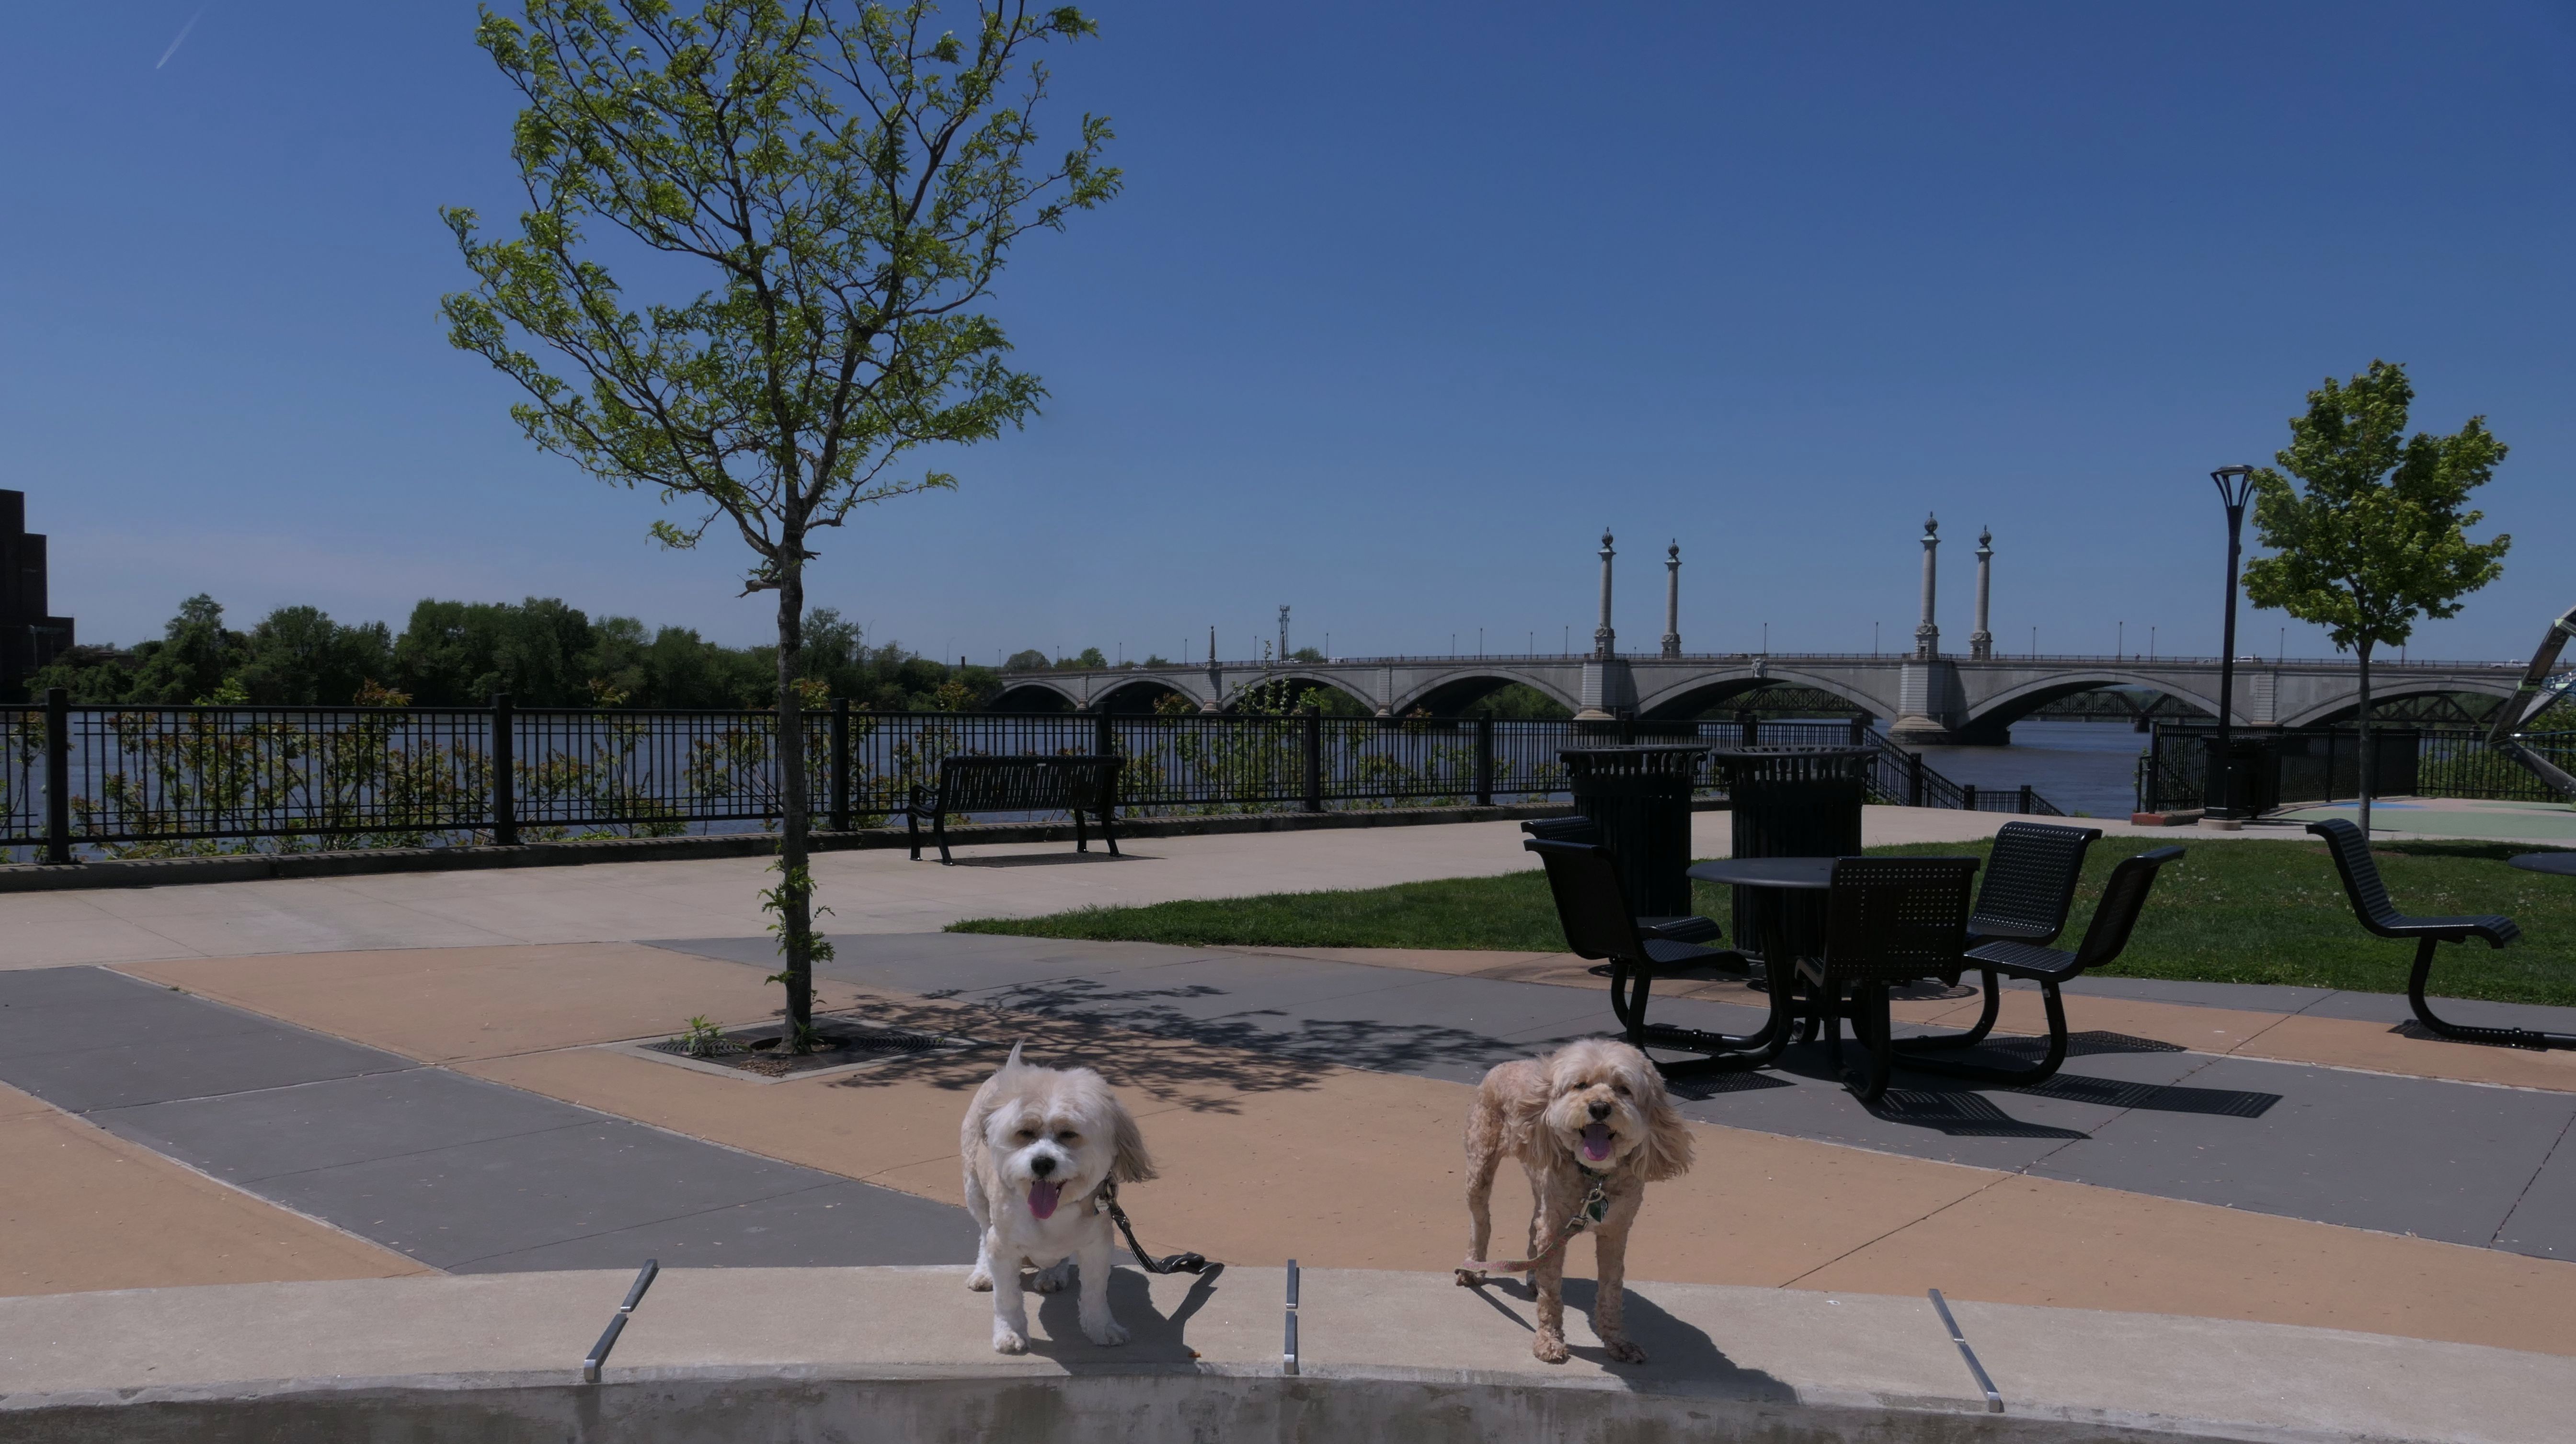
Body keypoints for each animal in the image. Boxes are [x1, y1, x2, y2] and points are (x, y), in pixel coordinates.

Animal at [961, 1044, 1156, 1354]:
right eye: (1025, 1133)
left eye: (1068, 1134)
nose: (1042, 1163)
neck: (1053, 1215)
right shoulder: (1002, 1246)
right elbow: (1007, 1298)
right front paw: (1010, 1333)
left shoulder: (1097, 1245)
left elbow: (1095, 1294)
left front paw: (1101, 1328)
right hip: (975, 1191)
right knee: (982, 1230)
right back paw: (984, 1272)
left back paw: (1053, 1274)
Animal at [1457, 1037, 1693, 1364]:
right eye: (1580, 1085)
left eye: (1623, 1089)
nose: (1600, 1107)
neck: (1595, 1178)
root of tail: (1508, 1063)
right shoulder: (1555, 1227)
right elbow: (1552, 1296)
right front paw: (1549, 1341)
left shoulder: (1615, 1232)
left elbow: (1611, 1290)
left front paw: (1618, 1341)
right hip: (1481, 1163)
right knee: (1481, 1220)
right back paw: (1473, 1266)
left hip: (1540, 1187)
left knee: (1533, 1226)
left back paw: (1531, 1275)